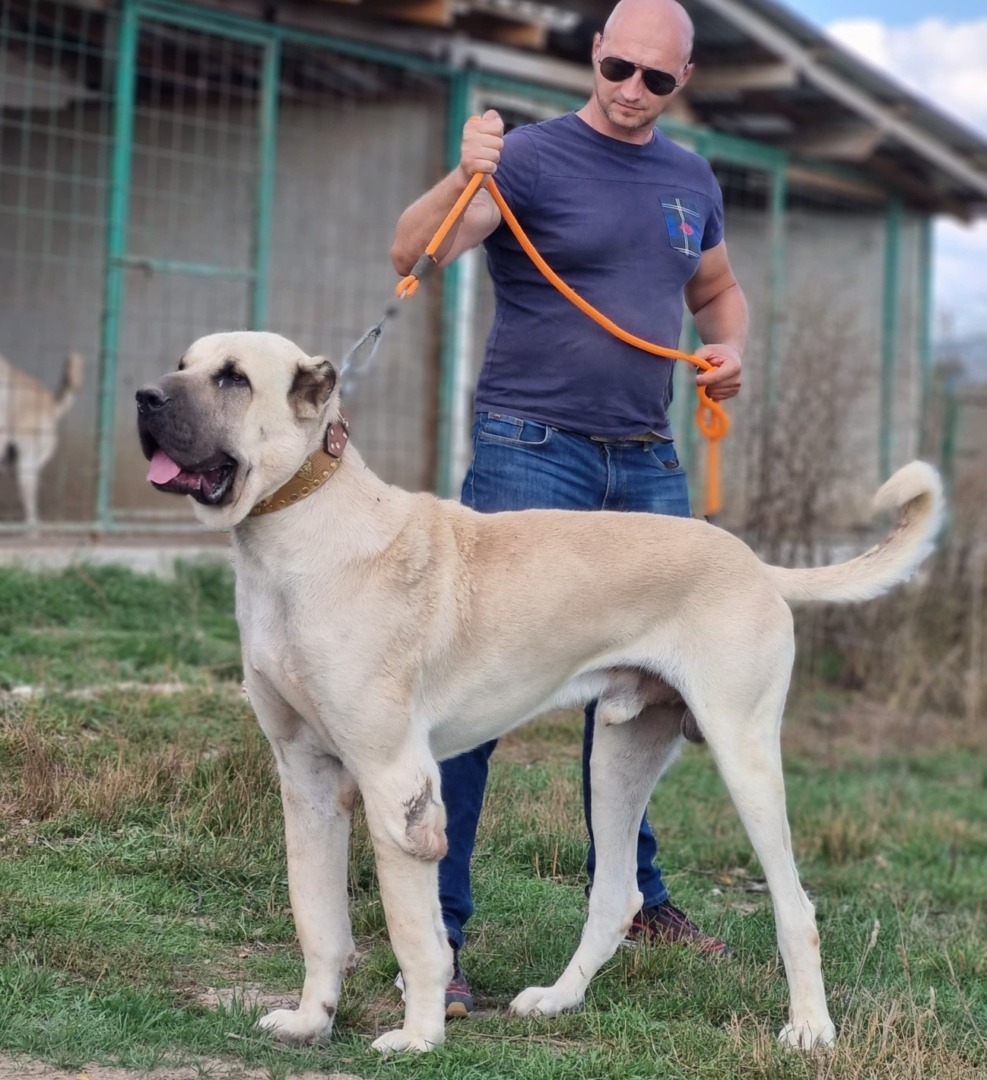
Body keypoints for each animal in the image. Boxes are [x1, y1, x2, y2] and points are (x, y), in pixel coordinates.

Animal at [136, 330, 937, 1054]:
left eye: (234, 378)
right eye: (181, 364)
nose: (143, 396)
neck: (297, 530)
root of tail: (756, 563)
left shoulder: (396, 785)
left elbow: (413, 933)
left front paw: (419, 1036)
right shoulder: (305, 780)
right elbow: (317, 918)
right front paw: (311, 1022)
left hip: (744, 758)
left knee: (795, 906)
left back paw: (809, 1028)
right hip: (615, 759)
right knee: (616, 895)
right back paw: (557, 1000)